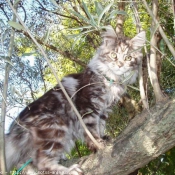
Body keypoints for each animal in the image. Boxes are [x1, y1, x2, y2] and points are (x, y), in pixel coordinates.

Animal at [4, 26, 146, 175]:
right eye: (113, 55)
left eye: (128, 57)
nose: (120, 64)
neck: (111, 81)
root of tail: (17, 124)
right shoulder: (87, 107)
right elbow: (91, 130)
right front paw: (98, 144)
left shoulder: (104, 110)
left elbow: (100, 125)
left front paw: (103, 137)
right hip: (55, 128)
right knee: (42, 162)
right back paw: (69, 170)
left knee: (28, 164)